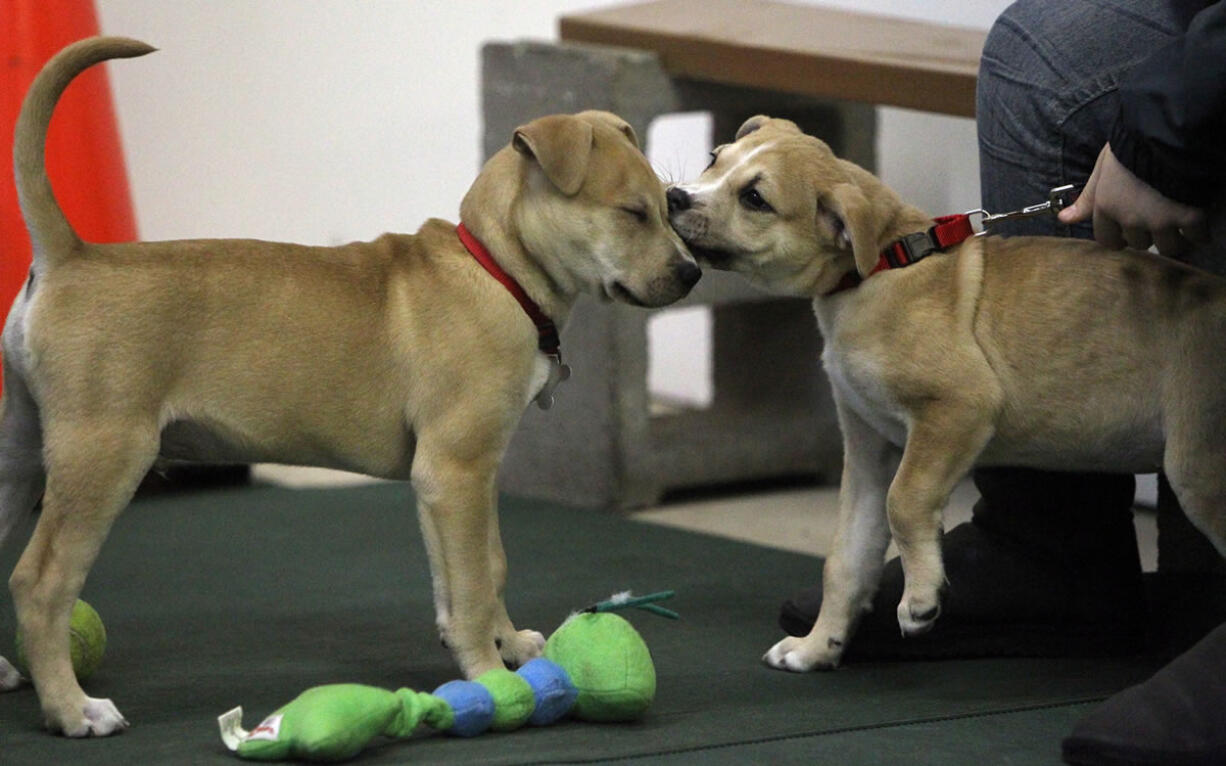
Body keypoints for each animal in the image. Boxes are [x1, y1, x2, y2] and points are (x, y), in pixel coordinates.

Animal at [0, 35, 701, 735]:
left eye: (668, 205)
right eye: (632, 213)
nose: (692, 273)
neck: (497, 270)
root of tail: (67, 257)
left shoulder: (456, 480)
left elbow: (481, 567)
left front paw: (504, 644)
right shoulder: (456, 469)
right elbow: (474, 581)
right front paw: (490, 676)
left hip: (20, 461)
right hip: (104, 457)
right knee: (40, 583)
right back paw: (72, 708)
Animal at [671, 116, 1226, 671]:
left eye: (755, 198)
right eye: (715, 158)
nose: (675, 196)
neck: (878, 267)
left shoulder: (958, 409)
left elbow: (904, 500)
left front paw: (920, 598)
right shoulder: (868, 449)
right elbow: (846, 556)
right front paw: (817, 646)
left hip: (1198, 469)